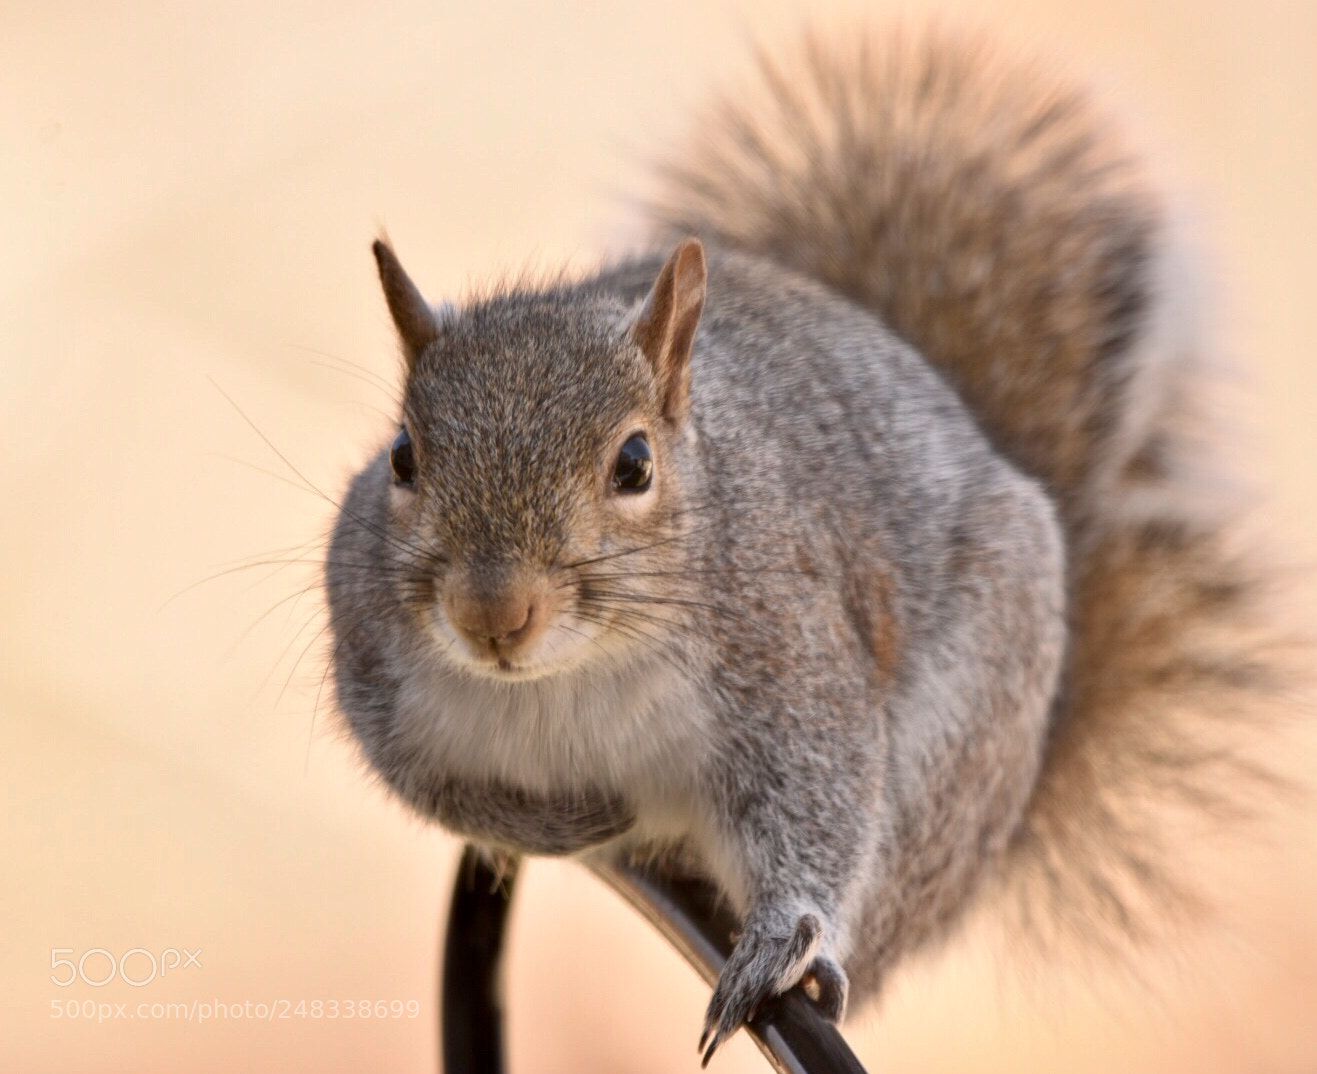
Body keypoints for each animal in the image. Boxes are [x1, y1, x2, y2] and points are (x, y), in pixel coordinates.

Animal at [325, 27, 1286, 1064]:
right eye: (402, 456)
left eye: (634, 463)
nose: (493, 614)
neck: (562, 679)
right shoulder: (378, 680)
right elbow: (441, 794)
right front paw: (571, 819)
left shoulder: (786, 662)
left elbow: (815, 802)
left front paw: (778, 941)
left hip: (953, 763)